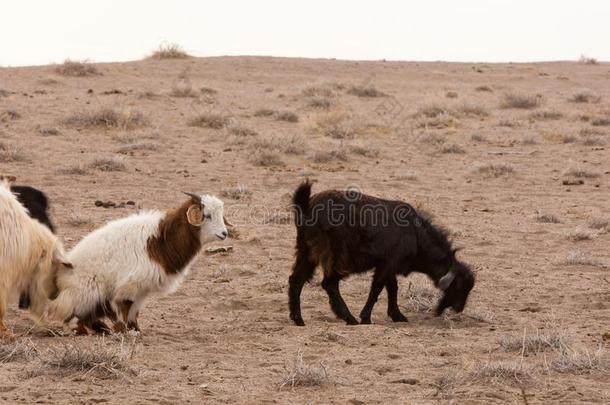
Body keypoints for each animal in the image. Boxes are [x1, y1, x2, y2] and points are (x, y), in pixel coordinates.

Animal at [288, 181, 476, 326]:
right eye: (459, 286)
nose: (459, 308)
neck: (414, 234)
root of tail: (307, 206)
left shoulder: (388, 266)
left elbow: (392, 288)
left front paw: (397, 315)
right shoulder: (387, 265)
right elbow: (377, 289)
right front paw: (365, 317)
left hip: (306, 253)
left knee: (296, 280)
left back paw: (298, 319)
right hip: (336, 258)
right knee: (329, 284)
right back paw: (349, 318)